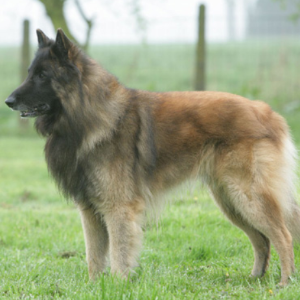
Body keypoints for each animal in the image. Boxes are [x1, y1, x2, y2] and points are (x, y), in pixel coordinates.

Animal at [5, 28, 300, 286]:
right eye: (31, 73)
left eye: (42, 75)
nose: (8, 101)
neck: (87, 115)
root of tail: (268, 112)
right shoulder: (90, 210)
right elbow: (94, 257)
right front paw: (93, 286)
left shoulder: (118, 208)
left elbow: (119, 253)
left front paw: (118, 286)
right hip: (230, 200)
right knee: (262, 240)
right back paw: (255, 279)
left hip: (247, 196)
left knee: (283, 235)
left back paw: (284, 282)